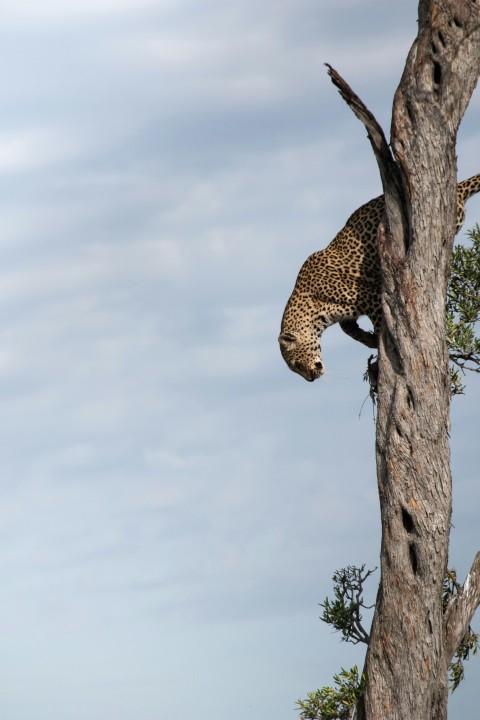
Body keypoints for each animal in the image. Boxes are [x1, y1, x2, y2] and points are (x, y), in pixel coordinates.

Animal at [278, 174, 480, 382]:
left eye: (297, 364)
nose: (311, 379)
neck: (312, 306)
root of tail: (458, 188)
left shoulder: (372, 296)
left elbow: (379, 322)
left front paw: (380, 345)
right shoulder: (348, 313)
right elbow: (347, 328)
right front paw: (368, 339)